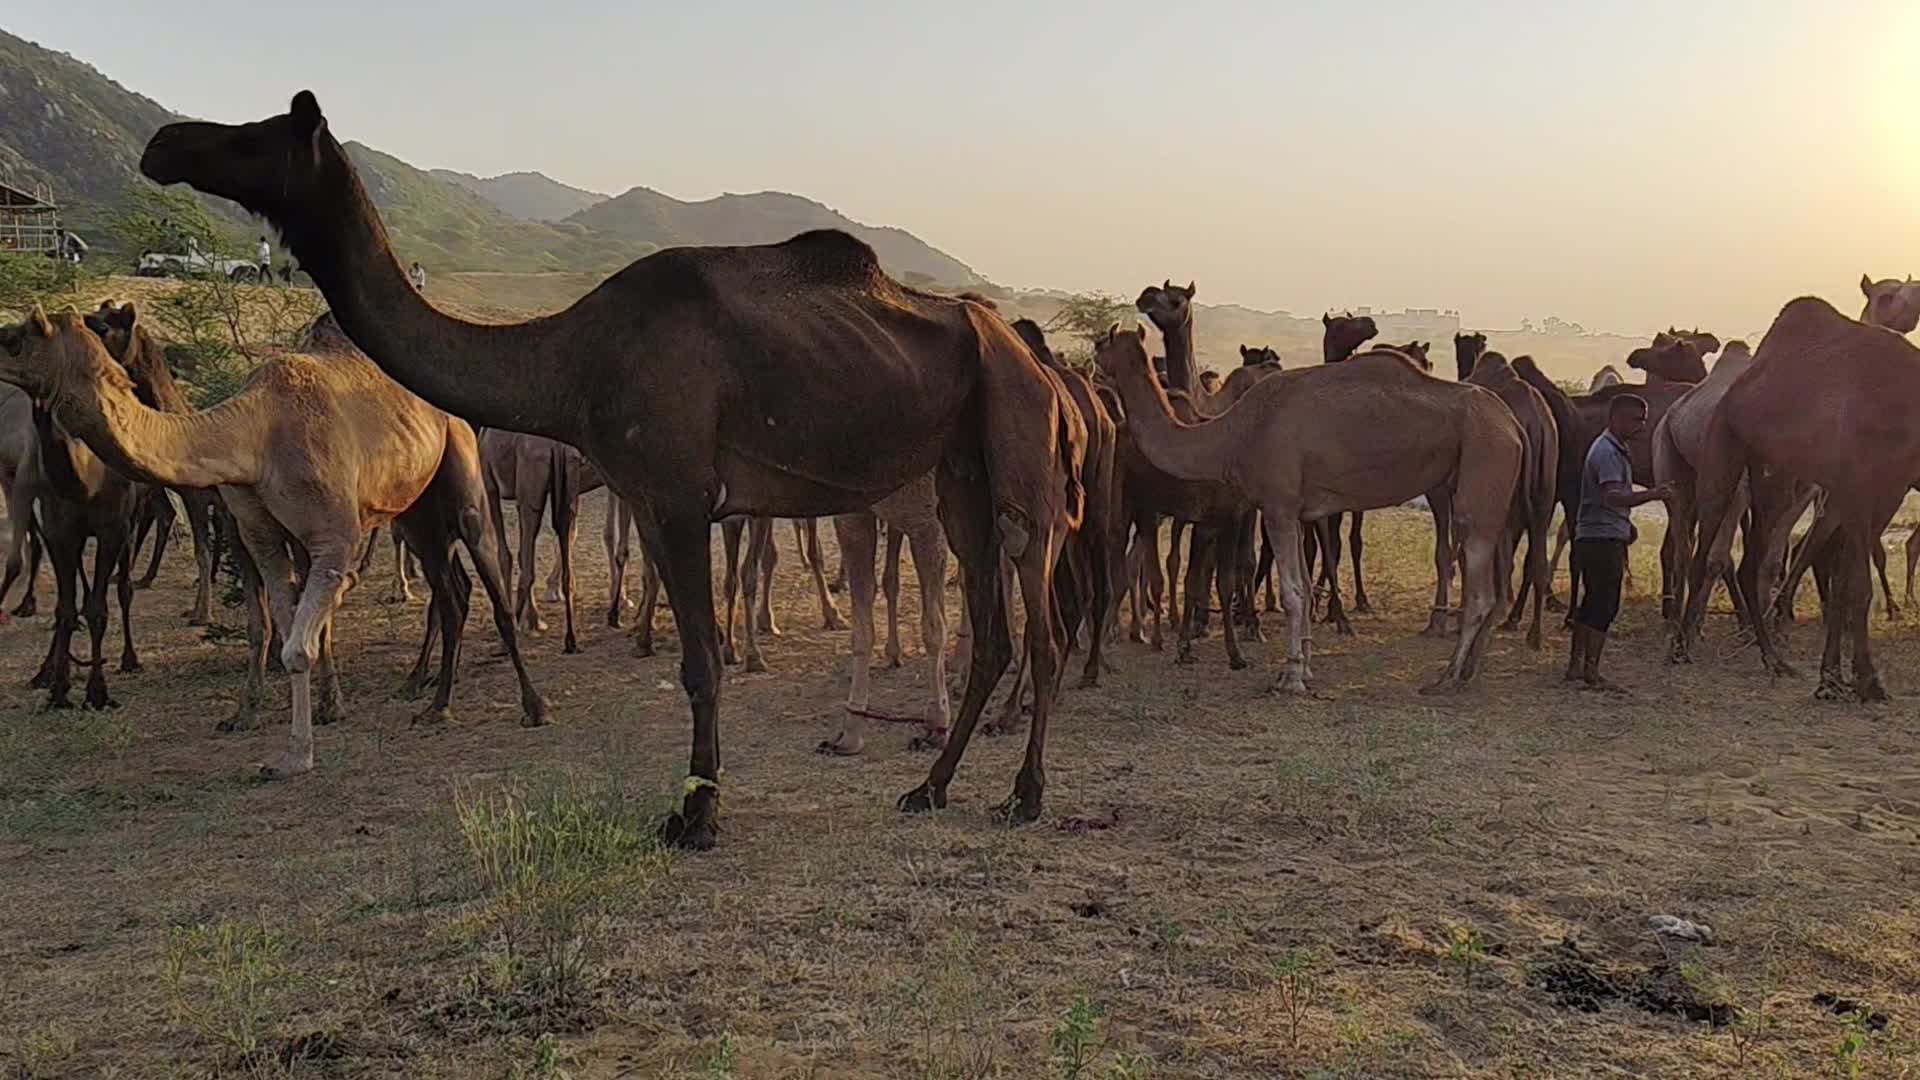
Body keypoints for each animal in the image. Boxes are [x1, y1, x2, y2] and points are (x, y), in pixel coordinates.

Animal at [0, 306, 551, 773]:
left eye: (19, 338)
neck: (253, 433)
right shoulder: (261, 537)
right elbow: (283, 633)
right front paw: (285, 740)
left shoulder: (333, 537)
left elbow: (299, 646)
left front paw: (298, 753)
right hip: (416, 513)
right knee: (450, 592)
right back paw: (436, 705)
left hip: (464, 475)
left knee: (490, 580)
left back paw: (534, 706)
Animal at [142, 92, 1085, 846]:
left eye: (253, 135)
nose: (163, 142)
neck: (572, 355)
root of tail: (1044, 372)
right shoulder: (653, 495)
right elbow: (690, 648)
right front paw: (694, 801)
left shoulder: (676, 493)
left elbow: (701, 659)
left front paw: (697, 816)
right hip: (962, 473)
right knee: (997, 630)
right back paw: (930, 787)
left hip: (1022, 456)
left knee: (1044, 631)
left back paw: (1026, 796)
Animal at [1095, 325, 1523, 692]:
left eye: (1102, 345)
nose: (1095, 371)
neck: (1232, 434)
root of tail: (1513, 426)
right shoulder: (1299, 512)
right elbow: (1301, 579)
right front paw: (1306, 667)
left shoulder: (1278, 507)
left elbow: (1293, 591)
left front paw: (1290, 677)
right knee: (1496, 587)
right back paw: (1467, 672)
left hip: (1483, 467)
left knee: (1480, 592)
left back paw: (1446, 677)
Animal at [1678, 292, 1920, 700]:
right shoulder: (1857, 485)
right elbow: (1857, 586)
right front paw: (1866, 680)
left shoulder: (1888, 489)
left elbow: (1843, 585)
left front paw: (1833, 678)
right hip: (1722, 451)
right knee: (1704, 551)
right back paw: (1680, 649)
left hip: (1775, 477)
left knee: (1751, 564)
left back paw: (1773, 660)